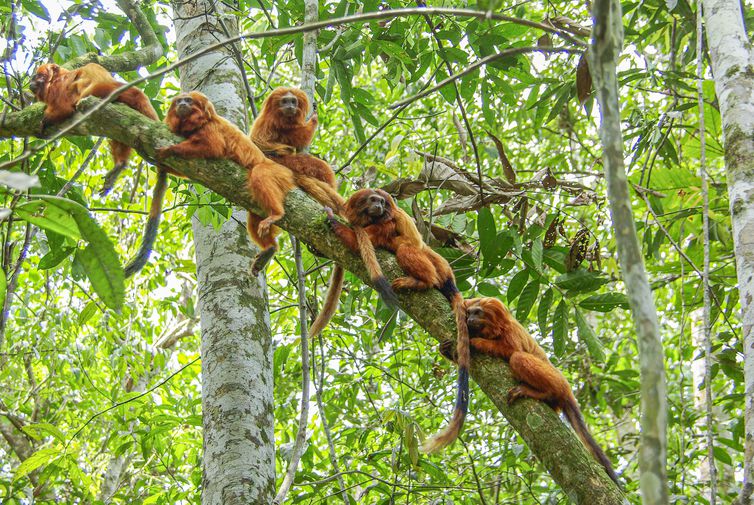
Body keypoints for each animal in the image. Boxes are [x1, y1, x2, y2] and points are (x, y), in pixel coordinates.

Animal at [29, 62, 159, 196]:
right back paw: (120, 164)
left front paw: (45, 120)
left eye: (38, 76)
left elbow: (64, 108)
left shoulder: (59, 87)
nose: (31, 81)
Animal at [326, 190, 468, 452]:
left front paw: (332, 220)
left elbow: (358, 242)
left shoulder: (386, 224)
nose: (380, 206)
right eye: (373, 200)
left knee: (406, 248)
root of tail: (449, 277)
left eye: (381, 202)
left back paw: (423, 281)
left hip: (433, 265)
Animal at [464, 296, 616, 484]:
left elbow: (511, 350)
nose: (470, 319)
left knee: (518, 357)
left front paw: (477, 342)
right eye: (469, 313)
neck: (497, 327)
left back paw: (542, 392)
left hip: (557, 381)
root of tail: (567, 389)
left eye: (478, 312)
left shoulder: (512, 332)